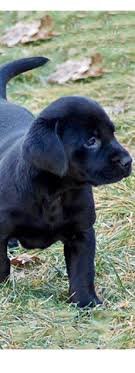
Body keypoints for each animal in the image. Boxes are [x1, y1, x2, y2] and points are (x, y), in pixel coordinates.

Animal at [0, 57, 132, 306]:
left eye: (113, 133)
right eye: (91, 140)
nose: (128, 161)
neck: (55, 193)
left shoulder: (81, 233)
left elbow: (83, 271)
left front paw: (86, 302)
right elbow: (1, 264)